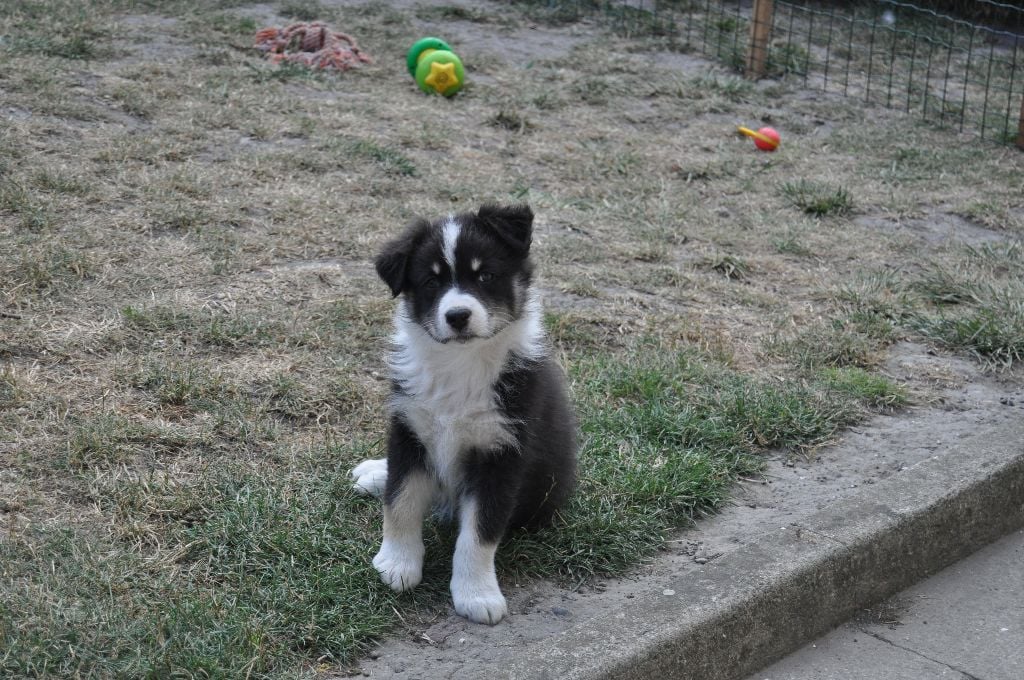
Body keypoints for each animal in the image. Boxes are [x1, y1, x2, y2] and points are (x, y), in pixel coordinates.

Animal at [352, 204, 577, 622]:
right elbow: (400, 501)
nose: (457, 315)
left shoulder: (501, 452)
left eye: (485, 275)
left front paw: (477, 595)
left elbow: (480, 533)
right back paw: (375, 472)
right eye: (431, 282)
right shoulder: (408, 426)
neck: (460, 362)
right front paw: (397, 563)